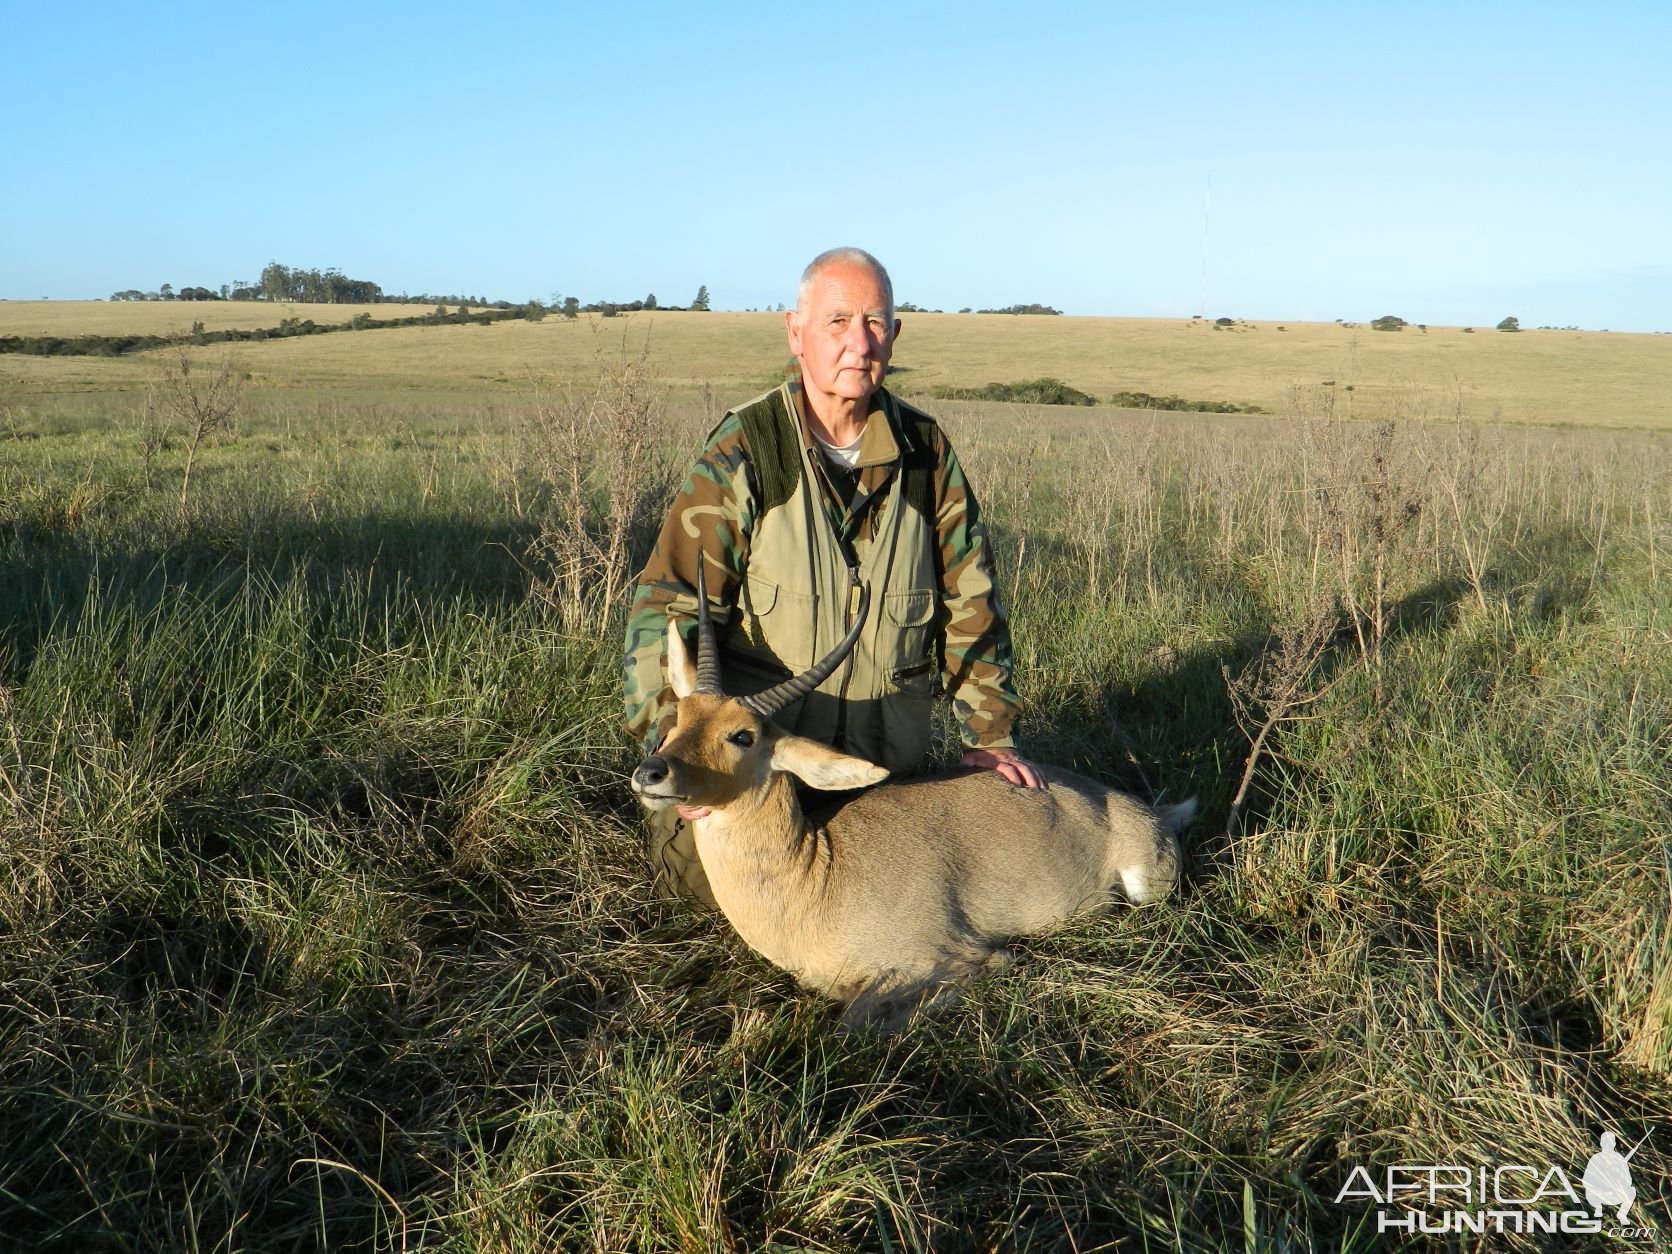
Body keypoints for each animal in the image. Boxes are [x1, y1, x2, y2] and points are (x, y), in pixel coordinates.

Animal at [628, 568, 1190, 1029]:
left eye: (743, 735)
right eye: (678, 718)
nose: (650, 773)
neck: (817, 873)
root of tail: (1143, 810)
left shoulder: (945, 959)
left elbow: (859, 1020)